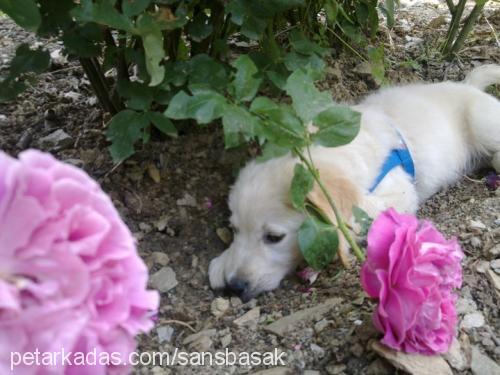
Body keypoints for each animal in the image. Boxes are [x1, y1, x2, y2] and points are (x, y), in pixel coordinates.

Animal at [208, 64, 500, 300]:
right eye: (234, 230)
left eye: (274, 237)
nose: (235, 286)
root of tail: (467, 85)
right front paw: (222, 263)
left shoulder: (398, 192)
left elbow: (353, 219)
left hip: (483, 123)